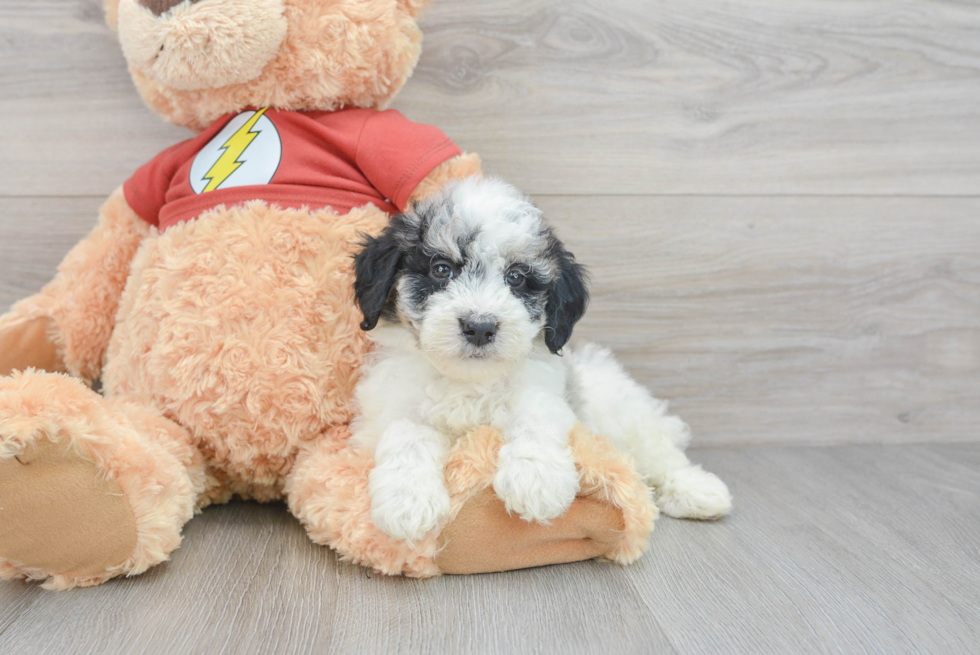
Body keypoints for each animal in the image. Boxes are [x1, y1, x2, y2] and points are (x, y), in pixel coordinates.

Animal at [350, 178, 728, 544]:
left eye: (516, 277)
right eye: (442, 269)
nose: (480, 327)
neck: (470, 379)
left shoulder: (544, 389)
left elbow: (534, 415)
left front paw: (536, 480)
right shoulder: (392, 404)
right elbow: (407, 435)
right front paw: (407, 503)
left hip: (624, 413)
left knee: (659, 453)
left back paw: (698, 491)